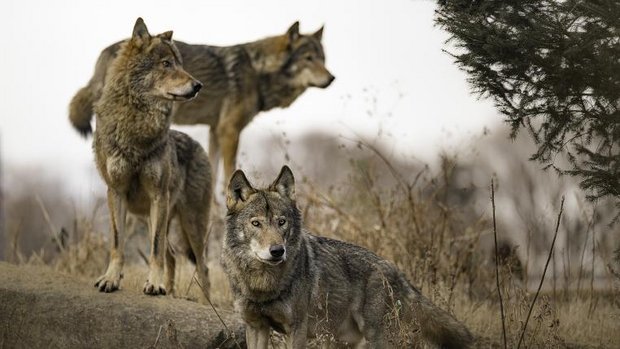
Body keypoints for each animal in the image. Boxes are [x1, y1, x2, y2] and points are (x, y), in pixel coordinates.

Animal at [68, 21, 334, 185]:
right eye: (308, 59)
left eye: (323, 59)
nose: (331, 78)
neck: (258, 70)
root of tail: (105, 53)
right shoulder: (229, 130)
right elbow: (228, 173)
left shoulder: (215, 130)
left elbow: (214, 173)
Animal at [92, 18, 213, 296]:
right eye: (166, 64)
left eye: (180, 64)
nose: (198, 85)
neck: (137, 125)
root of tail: (199, 146)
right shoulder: (116, 192)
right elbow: (118, 243)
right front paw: (111, 279)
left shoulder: (159, 195)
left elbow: (155, 250)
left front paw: (154, 284)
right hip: (153, 218)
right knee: (172, 256)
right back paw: (170, 292)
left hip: (190, 224)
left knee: (202, 267)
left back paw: (203, 301)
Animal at [220, 166, 472, 348]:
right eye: (256, 223)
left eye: (282, 222)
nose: (277, 251)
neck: (262, 285)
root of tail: (395, 270)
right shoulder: (256, 327)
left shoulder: (296, 329)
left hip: (374, 336)